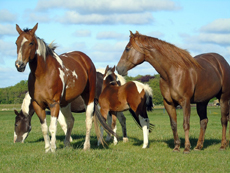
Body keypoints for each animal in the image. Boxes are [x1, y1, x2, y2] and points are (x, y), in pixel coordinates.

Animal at [13, 22, 115, 151]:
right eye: (16, 42)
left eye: (31, 43)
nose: (19, 65)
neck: (43, 74)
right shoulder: (38, 105)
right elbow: (45, 128)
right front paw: (48, 149)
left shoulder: (54, 104)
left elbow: (53, 127)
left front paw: (53, 148)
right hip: (66, 104)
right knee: (72, 120)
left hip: (90, 99)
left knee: (89, 120)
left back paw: (87, 146)